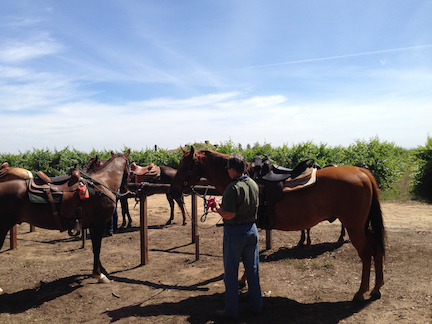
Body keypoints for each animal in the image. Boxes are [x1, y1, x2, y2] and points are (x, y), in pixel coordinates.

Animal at [0, 150, 132, 294]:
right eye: (130, 167)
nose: (125, 187)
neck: (102, 183)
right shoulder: (99, 224)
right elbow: (97, 248)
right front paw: (100, 275)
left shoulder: (93, 225)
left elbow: (94, 248)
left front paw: (100, 271)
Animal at [168, 147, 384, 302]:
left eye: (185, 167)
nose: (173, 190)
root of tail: (363, 172)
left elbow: (247, 256)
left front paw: (242, 281)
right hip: (363, 226)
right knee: (377, 249)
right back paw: (376, 288)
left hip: (354, 227)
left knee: (367, 254)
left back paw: (361, 292)